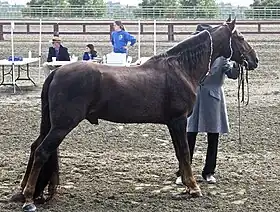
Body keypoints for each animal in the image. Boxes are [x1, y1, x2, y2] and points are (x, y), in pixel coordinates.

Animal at [12, 18, 258, 212]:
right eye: (241, 37)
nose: (254, 60)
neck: (180, 68)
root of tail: (57, 73)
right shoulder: (178, 121)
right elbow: (185, 153)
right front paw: (193, 187)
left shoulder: (173, 123)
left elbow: (180, 153)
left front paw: (188, 185)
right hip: (62, 125)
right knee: (42, 151)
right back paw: (29, 200)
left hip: (52, 124)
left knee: (35, 147)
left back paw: (22, 192)